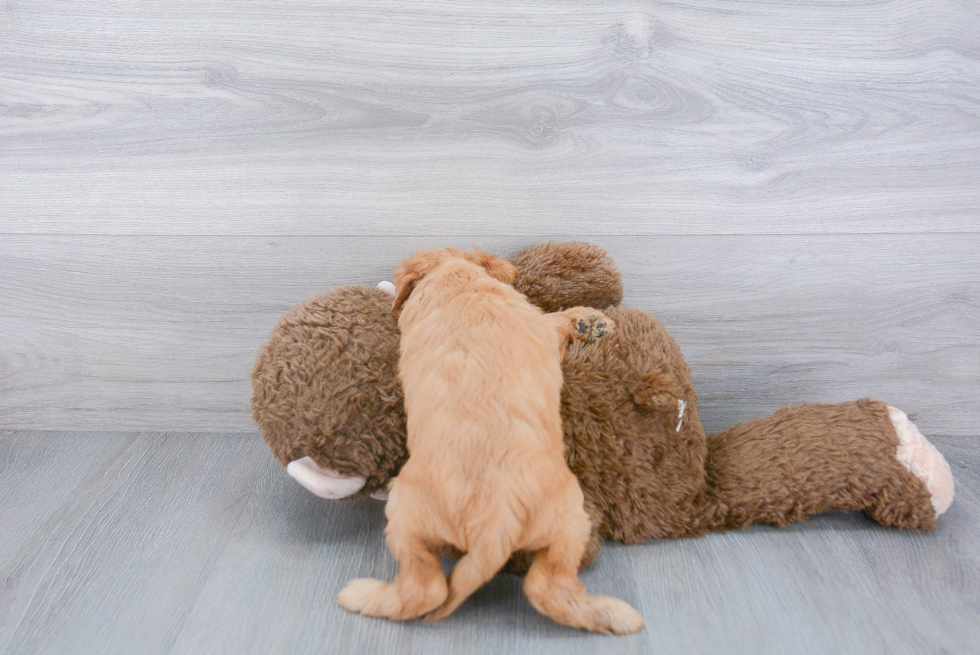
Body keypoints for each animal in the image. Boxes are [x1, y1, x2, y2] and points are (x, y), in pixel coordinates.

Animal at [336, 247, 644, 636]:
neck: (455, 278)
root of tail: (495, 526)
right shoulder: (539, 325)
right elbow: (556, 320)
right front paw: (586, 319)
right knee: (445, 589)